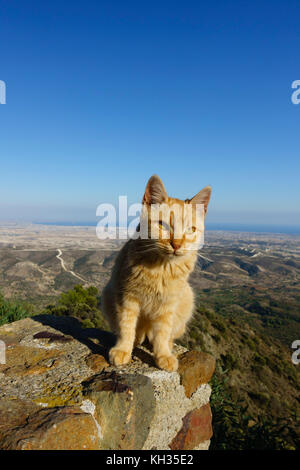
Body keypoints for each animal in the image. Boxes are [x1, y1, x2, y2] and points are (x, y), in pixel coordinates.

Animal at [102, 174, 212, 372]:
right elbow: (126, 326)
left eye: (190, 229)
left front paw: (163, 355)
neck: (161, 268)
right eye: (163, 225)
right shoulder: (127, 298)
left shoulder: (168, 304)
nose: (176, 245)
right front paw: (123, 349)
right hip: (108, 293)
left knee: (167, 335)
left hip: (187, 298)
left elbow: (163, 332)